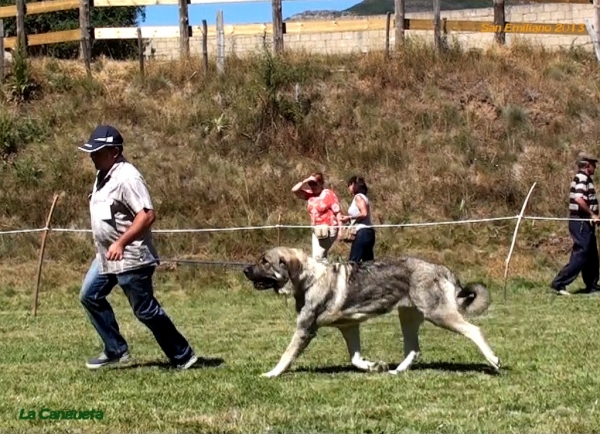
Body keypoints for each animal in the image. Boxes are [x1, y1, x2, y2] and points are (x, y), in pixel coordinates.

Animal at [244, 246, 502, 378]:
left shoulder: (305, 329)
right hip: (408, 317)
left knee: (474, 330)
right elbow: (355, 359)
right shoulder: (350, 327)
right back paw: (397, 371)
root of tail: (441, 268)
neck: (309, 279)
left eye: (264, 261)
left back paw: (493, 360)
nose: (245, 269)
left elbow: (286, 355)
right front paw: (375, 366)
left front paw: (271, 374)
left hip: (438, 315)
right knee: (414, 349)